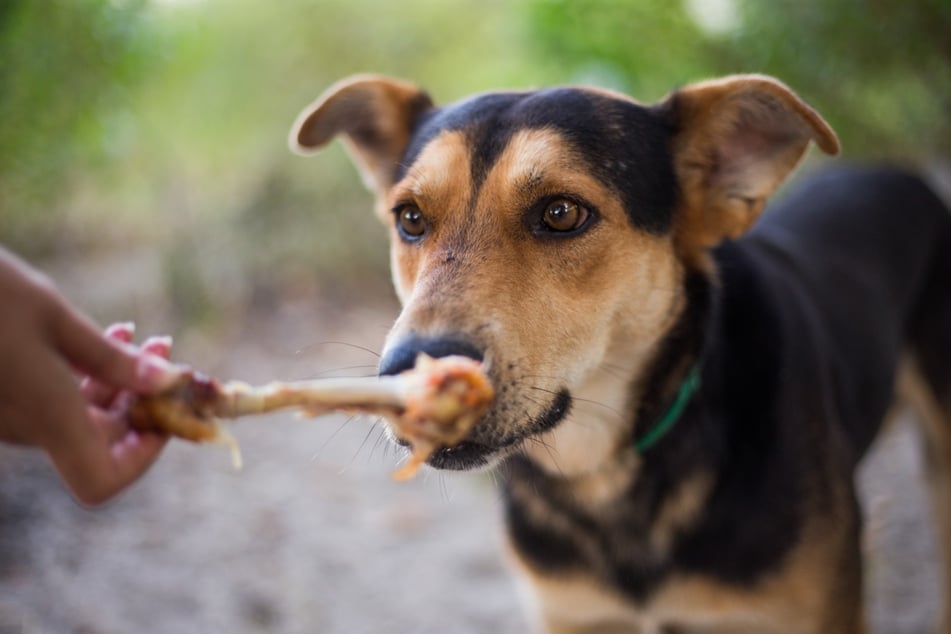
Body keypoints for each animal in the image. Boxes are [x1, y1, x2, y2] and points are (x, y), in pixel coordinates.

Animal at [288, 75, 951, 632]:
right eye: (410, 218)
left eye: (561, 213)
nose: (410, 375)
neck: (603, 474)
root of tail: (900, 173)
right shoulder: (574, 616)